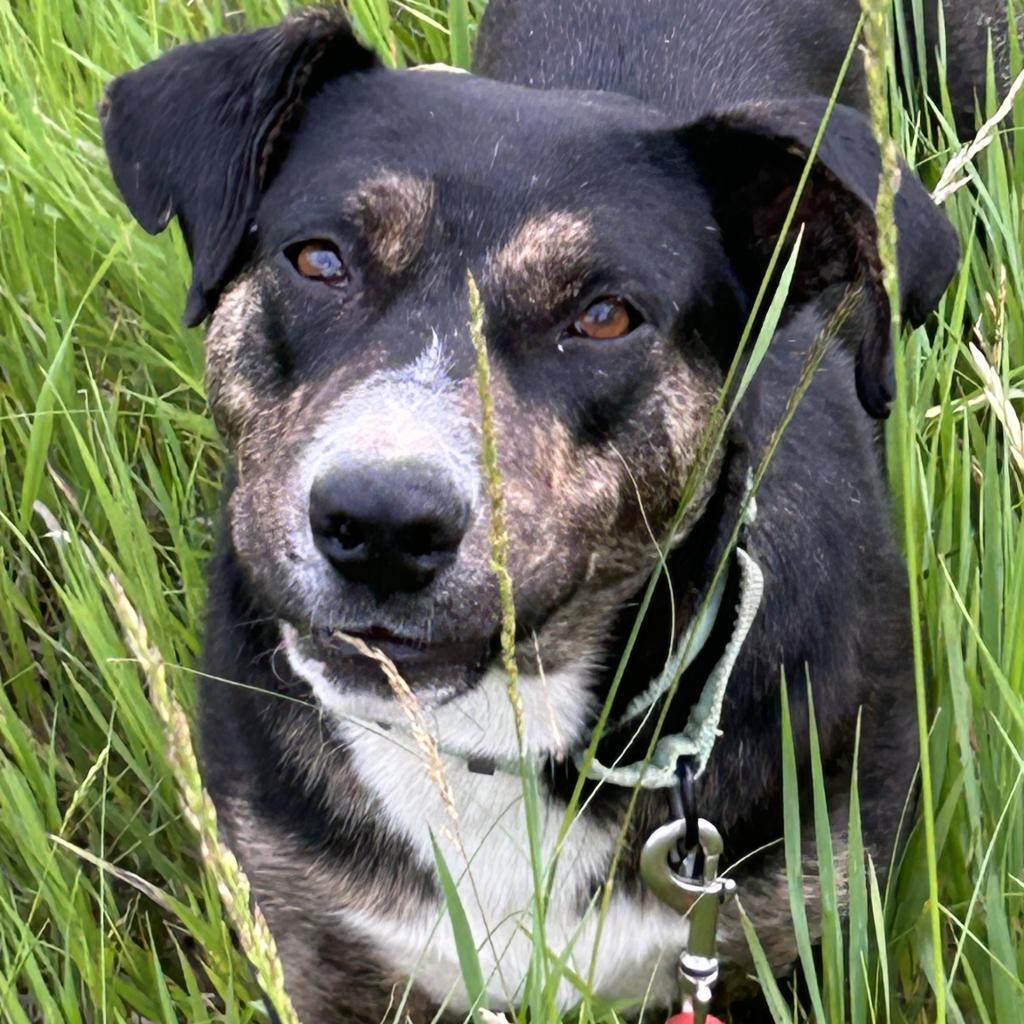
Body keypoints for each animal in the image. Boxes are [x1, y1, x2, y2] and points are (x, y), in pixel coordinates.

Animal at [101, 0, 983, 1019]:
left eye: (604, 316)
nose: (382, 525)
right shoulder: (317, 943)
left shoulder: (794, 936)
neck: (497, 738)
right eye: (319, 260)